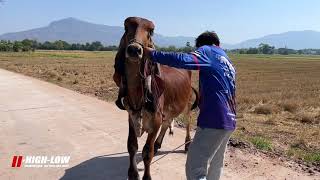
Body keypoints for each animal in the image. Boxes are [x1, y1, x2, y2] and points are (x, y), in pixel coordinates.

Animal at [112, 16, 198, 180]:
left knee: (188, 122)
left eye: (151, 31)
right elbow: (132, 146)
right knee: (167, 122)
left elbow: (147, 152)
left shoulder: (156, 119)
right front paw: (132, 173)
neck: (139, 95)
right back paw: (159, 144)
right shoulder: (131, 117)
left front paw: (146, 176)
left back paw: (187, 143)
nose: (134, 49)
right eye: (126, 27)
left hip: (187, 104)